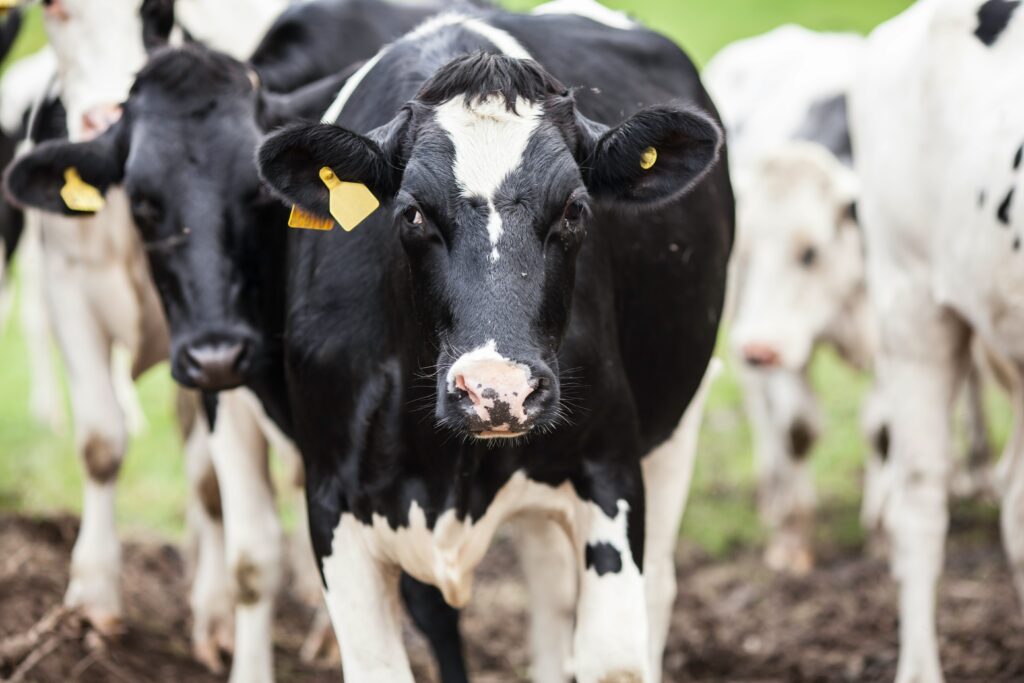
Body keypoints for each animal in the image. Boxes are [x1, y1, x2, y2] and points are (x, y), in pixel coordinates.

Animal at [251, 3, 737, 679]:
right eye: (412, 212)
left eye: (575, 208)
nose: (497, 392)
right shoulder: (331, 499)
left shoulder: (610, 471)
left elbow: (614, 655)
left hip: (677, 420)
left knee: (648, 588)